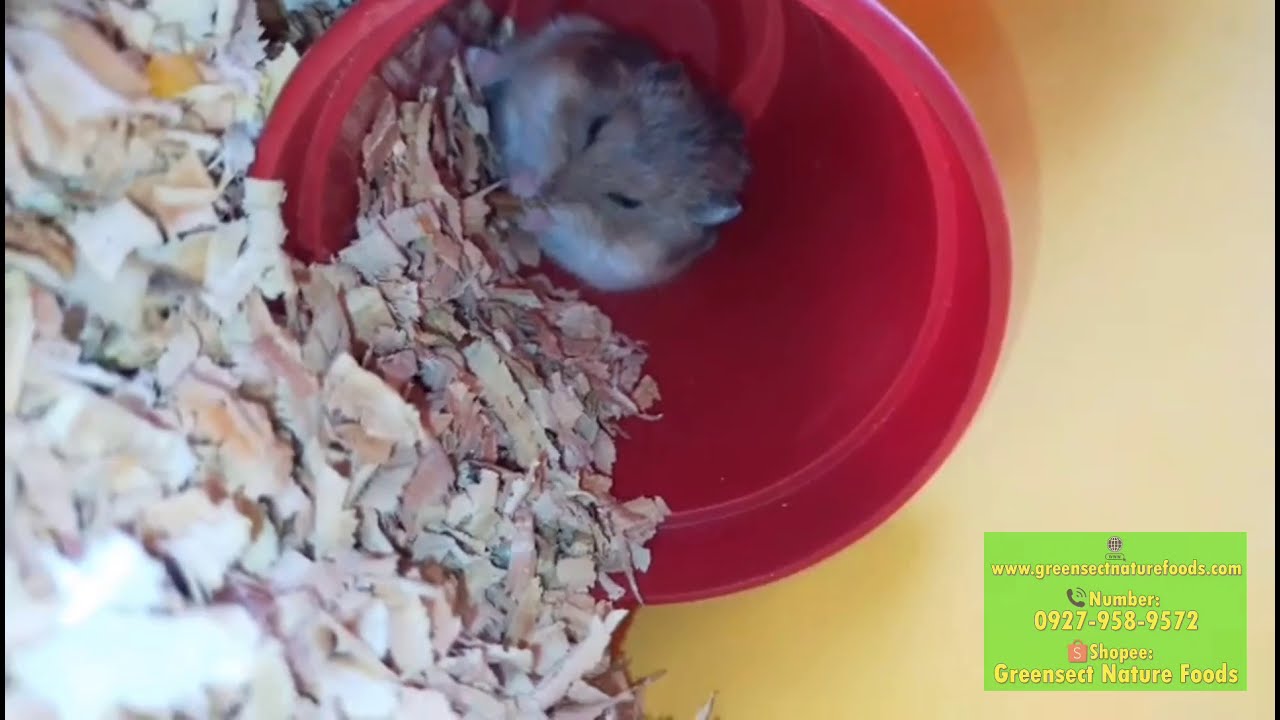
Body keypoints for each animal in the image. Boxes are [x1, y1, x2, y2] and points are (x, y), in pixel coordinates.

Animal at [465, 16, 751, 292]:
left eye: (628, 202)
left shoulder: (615, 257)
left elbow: (563, 224)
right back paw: (474, 60)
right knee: (511, 62)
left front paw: (531, 212)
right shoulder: (549, 89)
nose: (548, 194)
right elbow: (538, 142)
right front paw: (523, 187)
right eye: (595, 128)